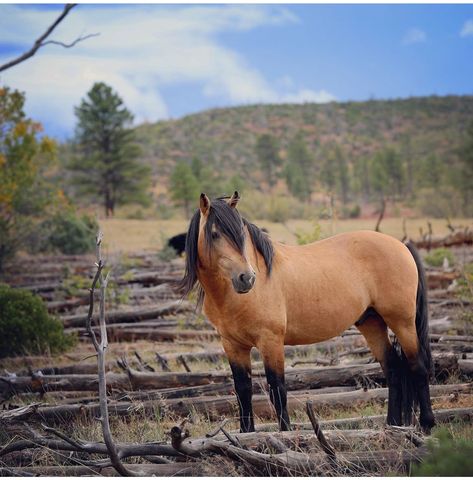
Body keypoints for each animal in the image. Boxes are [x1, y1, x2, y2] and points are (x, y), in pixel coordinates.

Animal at [178, 191, 436, 436]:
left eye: (241, 234)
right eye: (214, 234)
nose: (247, 278)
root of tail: (401, 245)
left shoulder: (271, 341)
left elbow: (277, 389)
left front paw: (285, 435)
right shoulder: (232, 345)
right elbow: (243, 390)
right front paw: (245, 435)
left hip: (402, 322)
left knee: (418, 366)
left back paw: (427, 424)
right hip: (372, 323)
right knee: (393, 369)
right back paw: (392, 425)